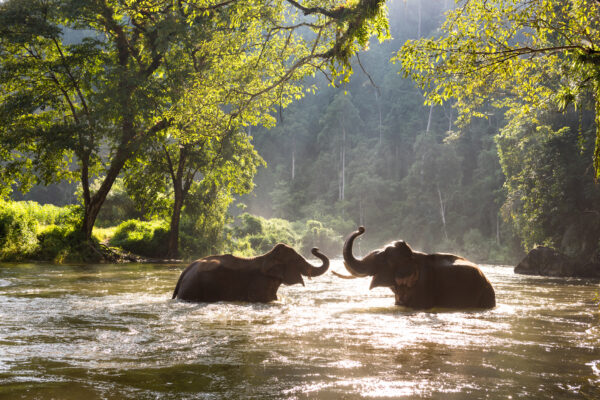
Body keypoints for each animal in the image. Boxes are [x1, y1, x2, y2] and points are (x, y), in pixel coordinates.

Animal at [171, 244, 328, 304]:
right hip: (192, 289)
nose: (315, 248)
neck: (268, 256)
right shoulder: (260, 284)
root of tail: (185, 271)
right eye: (296, 260)